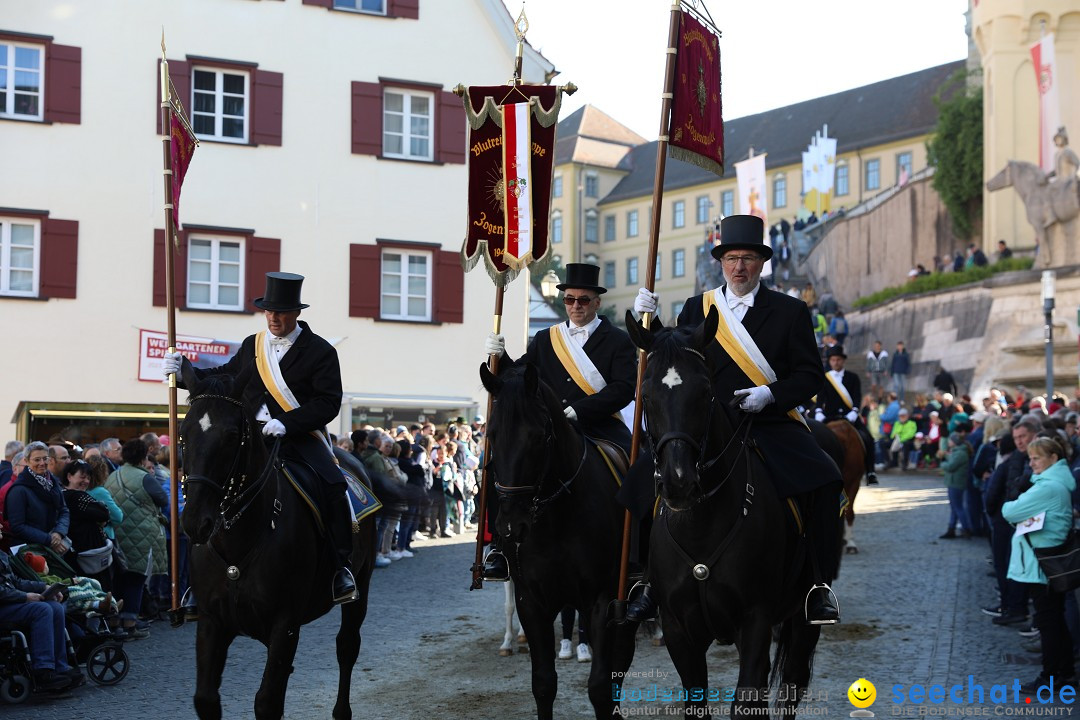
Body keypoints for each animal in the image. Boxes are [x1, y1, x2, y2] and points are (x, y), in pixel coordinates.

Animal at [179, 367, 378, 720]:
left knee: (347, 646)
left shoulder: (284, 622)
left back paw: (342, 710)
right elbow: (206, 699)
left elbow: (267, 701)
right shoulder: (211, 620)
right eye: (184, 433)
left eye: (231, 435)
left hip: (361, 584)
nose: (194, 522)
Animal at [479, 367, 635, 720]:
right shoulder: (531, 601)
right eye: (491, 435)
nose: (511, 526)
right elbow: (543, 684)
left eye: (538, 437)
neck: (556, 519)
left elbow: (600, 687)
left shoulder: (603, 600)